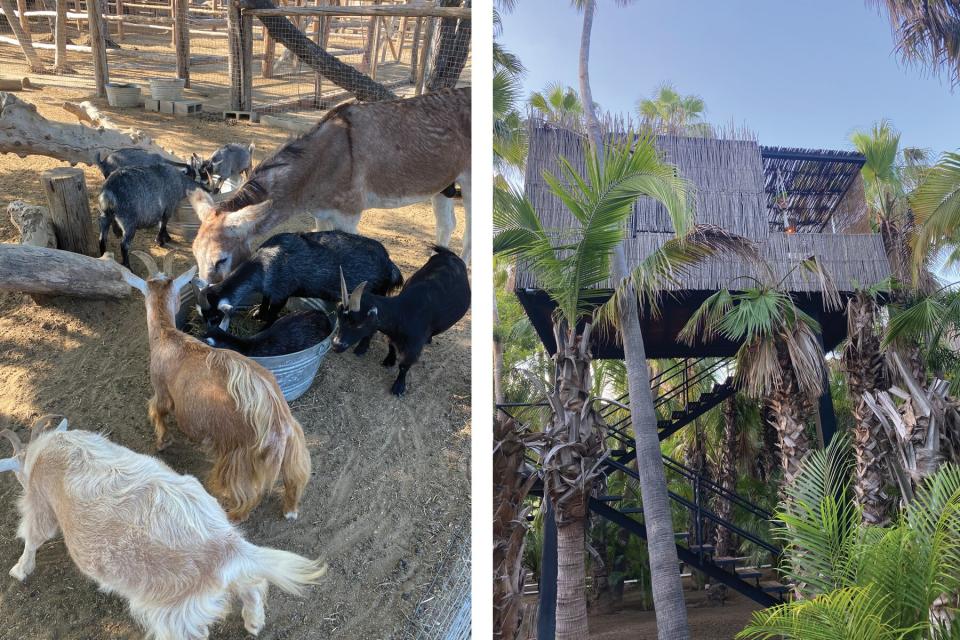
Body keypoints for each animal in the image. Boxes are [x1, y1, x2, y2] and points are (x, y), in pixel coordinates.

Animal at [0, 418, 326, 636]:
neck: (42, 451)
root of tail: (227, 546)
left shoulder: (41, 503)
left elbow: (33, 536)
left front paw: (19, 570)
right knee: (253, 585)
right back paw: (254, 622)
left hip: (172, 611)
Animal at [118, 249, 310, 520]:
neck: (167, 335)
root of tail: (280, 427)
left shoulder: (162, 390)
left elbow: (157, 411)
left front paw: (162, 442)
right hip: (295, 450)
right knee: (295, 480)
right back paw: (290, 511)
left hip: (239, 461)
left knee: (249, 497)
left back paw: (231, 515)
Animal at [332, 245, 470, 396]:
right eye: (340, 318)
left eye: (358, 324)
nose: (336, 345)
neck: (404, 312)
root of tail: (449, 253)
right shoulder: (392, 334)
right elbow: (391, 346)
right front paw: (389, 361)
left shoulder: (414, 346)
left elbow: (404, 365)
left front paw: (398, 387)